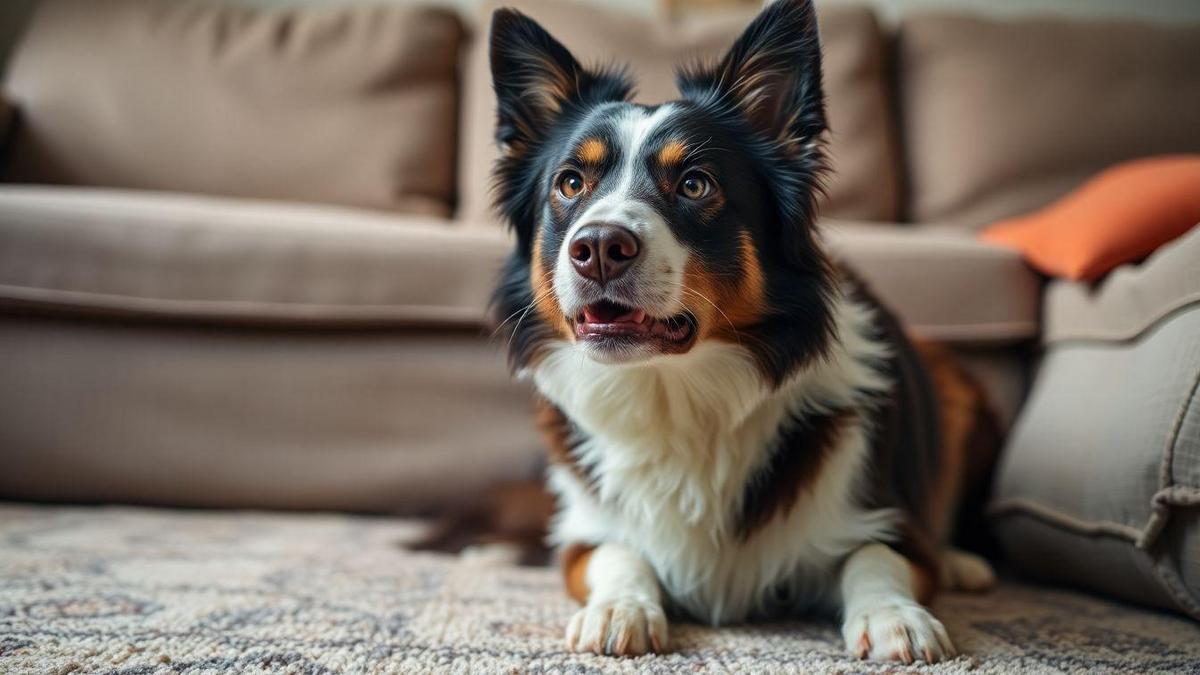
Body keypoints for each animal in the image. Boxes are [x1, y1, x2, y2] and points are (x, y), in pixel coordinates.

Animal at [482, 0, 998, 662]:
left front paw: (895, 617)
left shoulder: (889, 522)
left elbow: (874, 558)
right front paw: (620, 608)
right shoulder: (583, 536)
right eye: (571, 183)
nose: (596, 248)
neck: (671, 392)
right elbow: (619, 552)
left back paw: (964, 562)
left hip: (959, 384)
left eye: (695, 184)